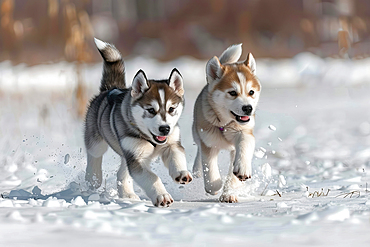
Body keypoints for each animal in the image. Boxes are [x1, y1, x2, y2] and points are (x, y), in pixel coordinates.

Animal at [85, 38, 192, 207]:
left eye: (171, 109)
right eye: (151, 110)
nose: (165, 129)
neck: (150, 138)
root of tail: (110, 88)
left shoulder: (171, 143)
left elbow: (176, 156)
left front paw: (181, 173)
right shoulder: (136, 158)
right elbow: (151, 177)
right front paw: (162, 196)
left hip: (127, 152)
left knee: (122, 173)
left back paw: (128, 195)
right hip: (97, 141)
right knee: (94, 155)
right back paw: (93, 178)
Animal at [192, 44, 262, 203]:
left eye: (251, 92)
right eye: (232, 93)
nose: (248, 108)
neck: (225, 124)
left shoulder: (245, 133)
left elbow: (242, 151)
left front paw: (230, 190)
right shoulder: (209, 142)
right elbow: (210, 170)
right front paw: (215, 186)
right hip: (198, 134)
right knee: (199, 152)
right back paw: (197, 172)